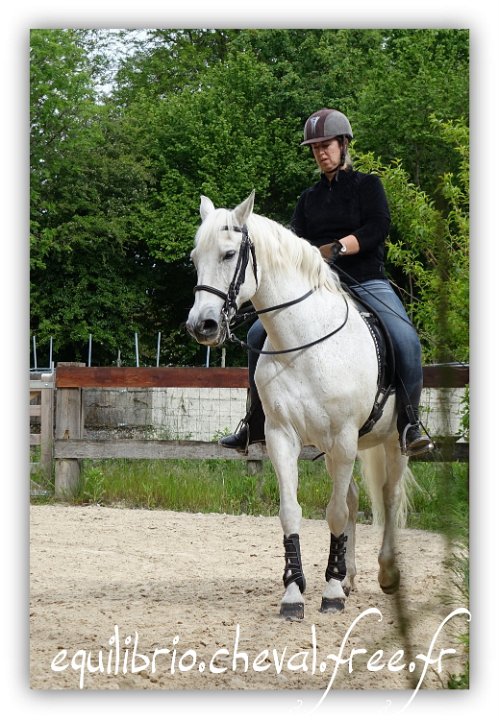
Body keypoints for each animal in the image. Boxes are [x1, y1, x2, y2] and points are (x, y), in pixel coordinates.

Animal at [188, 191, 414, 620]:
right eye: (195, 258)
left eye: (229, 254)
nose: (201, 325)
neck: (306, 343)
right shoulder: (282, 436)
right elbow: (292, 511)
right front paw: (295, 593)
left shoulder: (343, 438)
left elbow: (336, 512)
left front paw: (331, 592)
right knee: (355, 498)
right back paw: (349, 575)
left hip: (391, 442)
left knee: (389, 496)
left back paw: (388, 573)